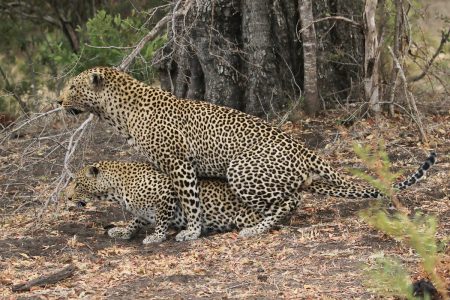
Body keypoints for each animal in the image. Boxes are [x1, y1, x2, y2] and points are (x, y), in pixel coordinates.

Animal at [65, 162, 266, 244]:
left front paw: (156, 236)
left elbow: (162, 220)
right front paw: (123, 231)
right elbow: (134, 221)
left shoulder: (166, 193)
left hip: (244, 215)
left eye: (78, 184)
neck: (115, 190)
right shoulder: (143, 211)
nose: (66, 197)